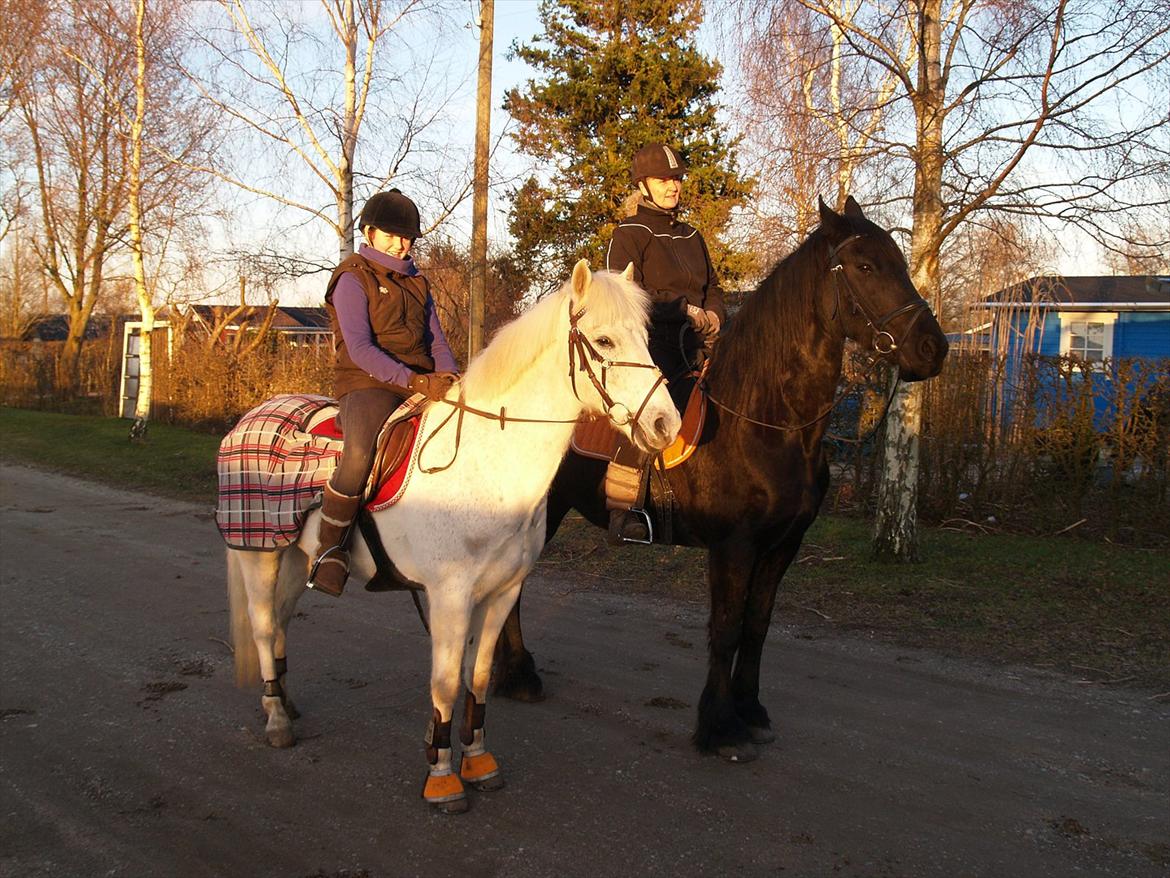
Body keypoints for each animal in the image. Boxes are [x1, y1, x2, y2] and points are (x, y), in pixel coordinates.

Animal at [225, 261, 678, 819]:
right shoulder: (450, 596)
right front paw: (442, 777)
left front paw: (477, 760)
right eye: (604, 340)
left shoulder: (500, 592)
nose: (666, 424)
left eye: (645, 337)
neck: (486, 462)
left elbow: (475, 677)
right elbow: (444, 683)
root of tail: (250, 417)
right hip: (258, 555)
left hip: (293, 558)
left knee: (282, 626)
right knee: (265, 627)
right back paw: (276, 719)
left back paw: (286, 702)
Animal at [493, 199, 950, 763]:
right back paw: (518, 676)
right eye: (865, 266)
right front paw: (719, 725)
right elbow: (727, 628)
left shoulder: (782, 545)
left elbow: (756, 627)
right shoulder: (735, 544)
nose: (933, 348)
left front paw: (750, 710)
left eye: (901, 263)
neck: (764, 420)